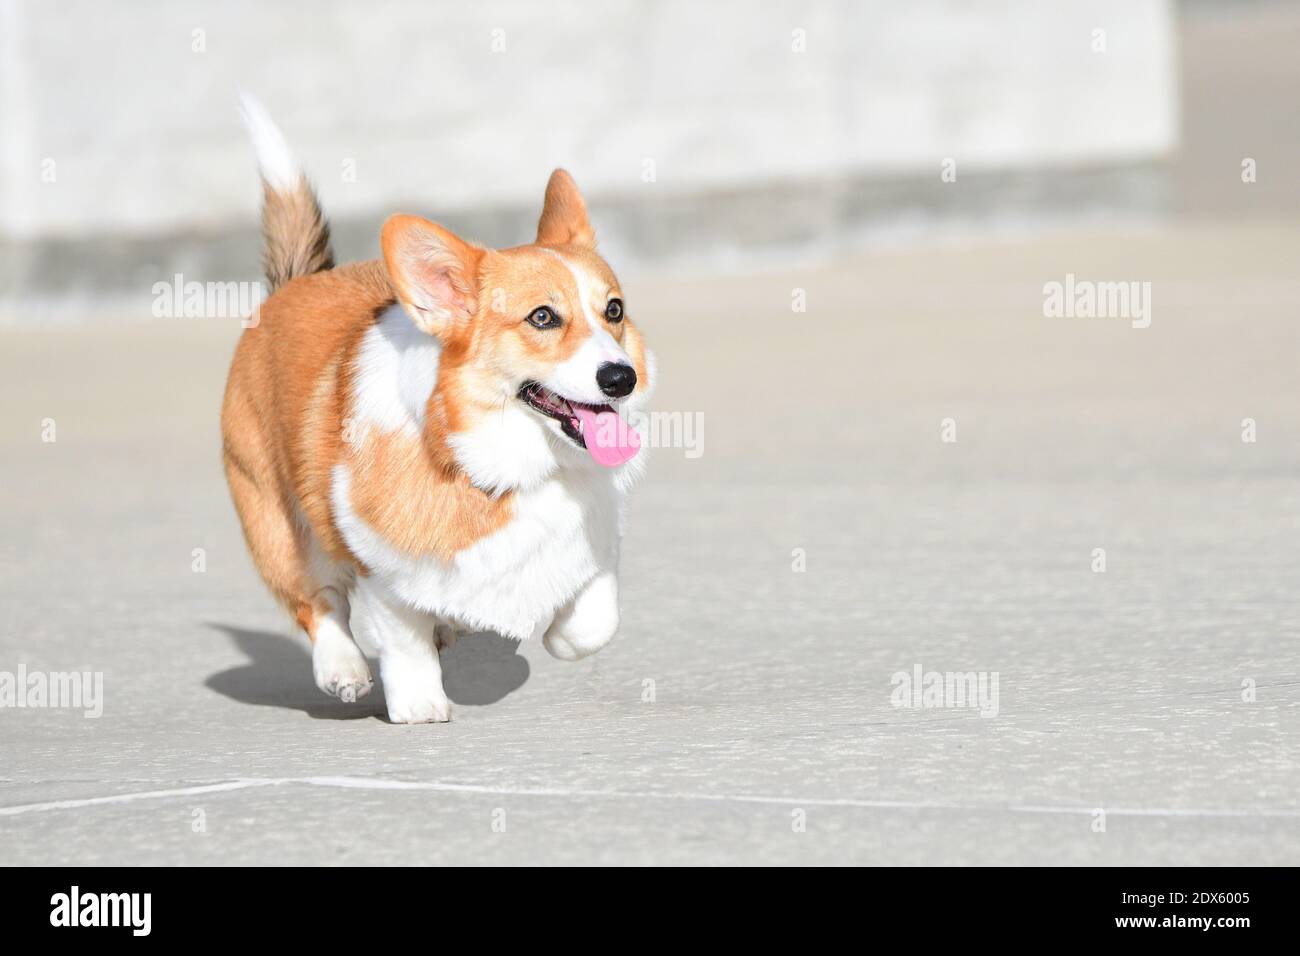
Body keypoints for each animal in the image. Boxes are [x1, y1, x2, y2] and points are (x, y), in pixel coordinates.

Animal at [220, 97, 660, 723]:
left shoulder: (597, 539)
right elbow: (401, 637)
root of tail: (297, 282)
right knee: (318, 603)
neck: (505, 465)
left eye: (615, 311)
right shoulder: (379, 564)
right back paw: (343, 670)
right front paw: (419, 705)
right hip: (277, 521)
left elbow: (594, 619)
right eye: (542, 318)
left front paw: (560, 636)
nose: (622, 378)